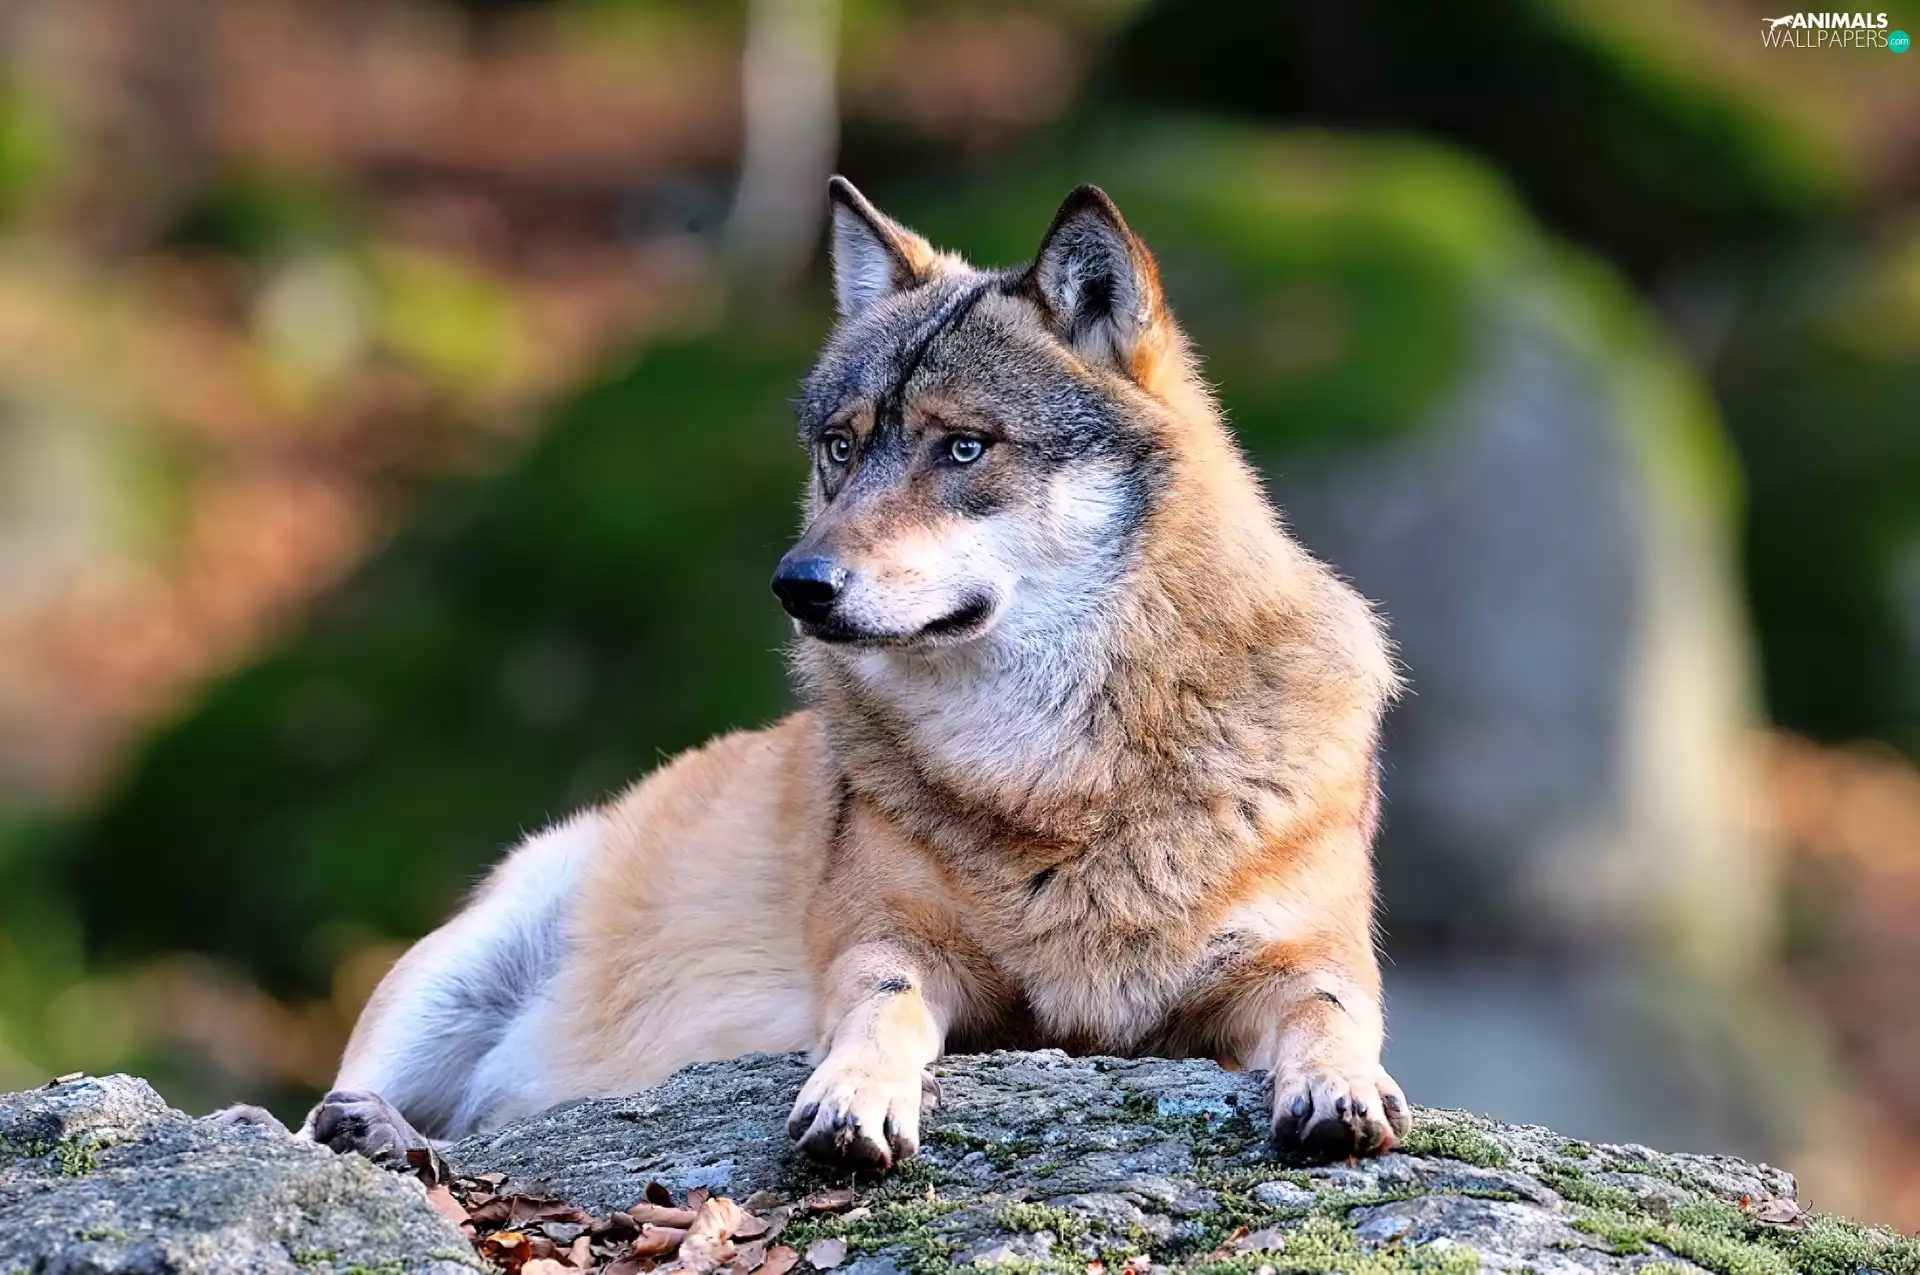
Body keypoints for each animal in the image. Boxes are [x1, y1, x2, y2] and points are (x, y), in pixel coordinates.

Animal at [236, 177, 1410, 1170]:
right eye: (842, 447)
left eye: (962, 448)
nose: (797, 584)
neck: (1056, 772)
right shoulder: (890, 947)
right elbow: (882, 1005)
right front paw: (855, 1098)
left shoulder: (1300, 964)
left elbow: (1334, 1014)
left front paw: (1343, 1090)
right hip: (457, 966)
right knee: (313, 1117)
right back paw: (364, 1132)